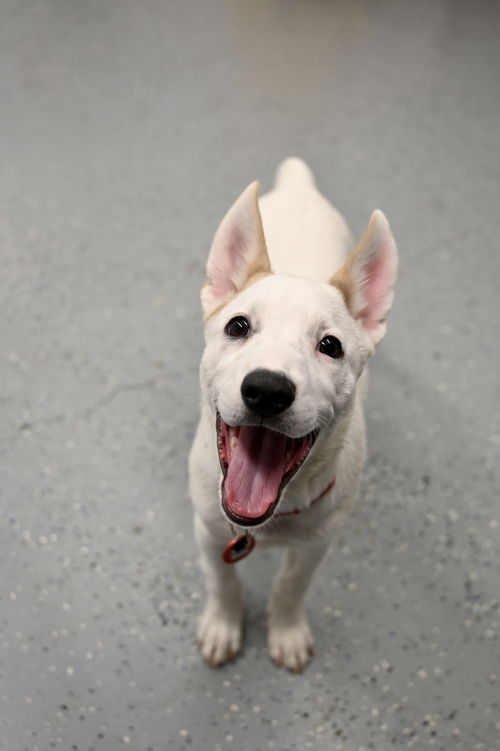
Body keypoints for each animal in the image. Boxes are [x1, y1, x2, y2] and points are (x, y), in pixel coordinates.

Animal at [189, 159, 396, 676]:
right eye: (237, 326)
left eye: (331, 346)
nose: (267, 390)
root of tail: (299, 182)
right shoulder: (208, 530)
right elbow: (223, 582)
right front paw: (223, 626)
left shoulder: (316, 544)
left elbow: (289, 587)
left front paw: (285, 633)